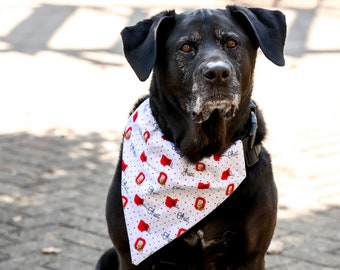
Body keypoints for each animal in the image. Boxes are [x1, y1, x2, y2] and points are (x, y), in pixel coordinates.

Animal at [96, 4, 286, 270]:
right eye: (185, 47)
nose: (218, 72)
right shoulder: (128, 256)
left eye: (231, 43)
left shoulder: (252, 256)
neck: (202, 155)